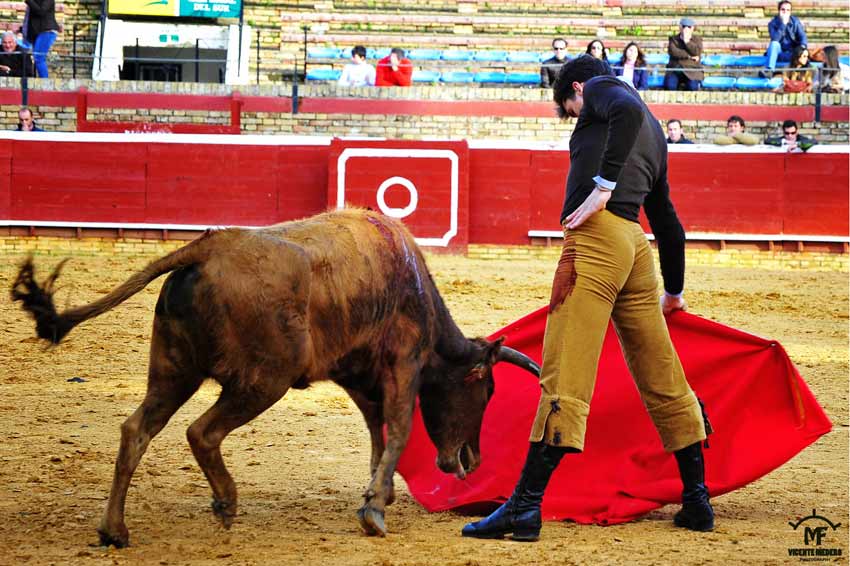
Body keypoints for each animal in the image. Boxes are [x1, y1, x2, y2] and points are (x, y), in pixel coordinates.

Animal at [11, 210, 536, 552]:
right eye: (484, 391)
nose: (471, 460)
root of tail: (211, 243)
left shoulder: (358, 375)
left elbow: (377, 431)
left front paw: (378, 496)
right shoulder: (402, 362)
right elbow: (400, 429)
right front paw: (374, 511)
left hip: (173, 372)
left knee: (137, 430)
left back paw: (114, 530)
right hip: (264, 381)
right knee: (201, 432)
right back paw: (225, 502)